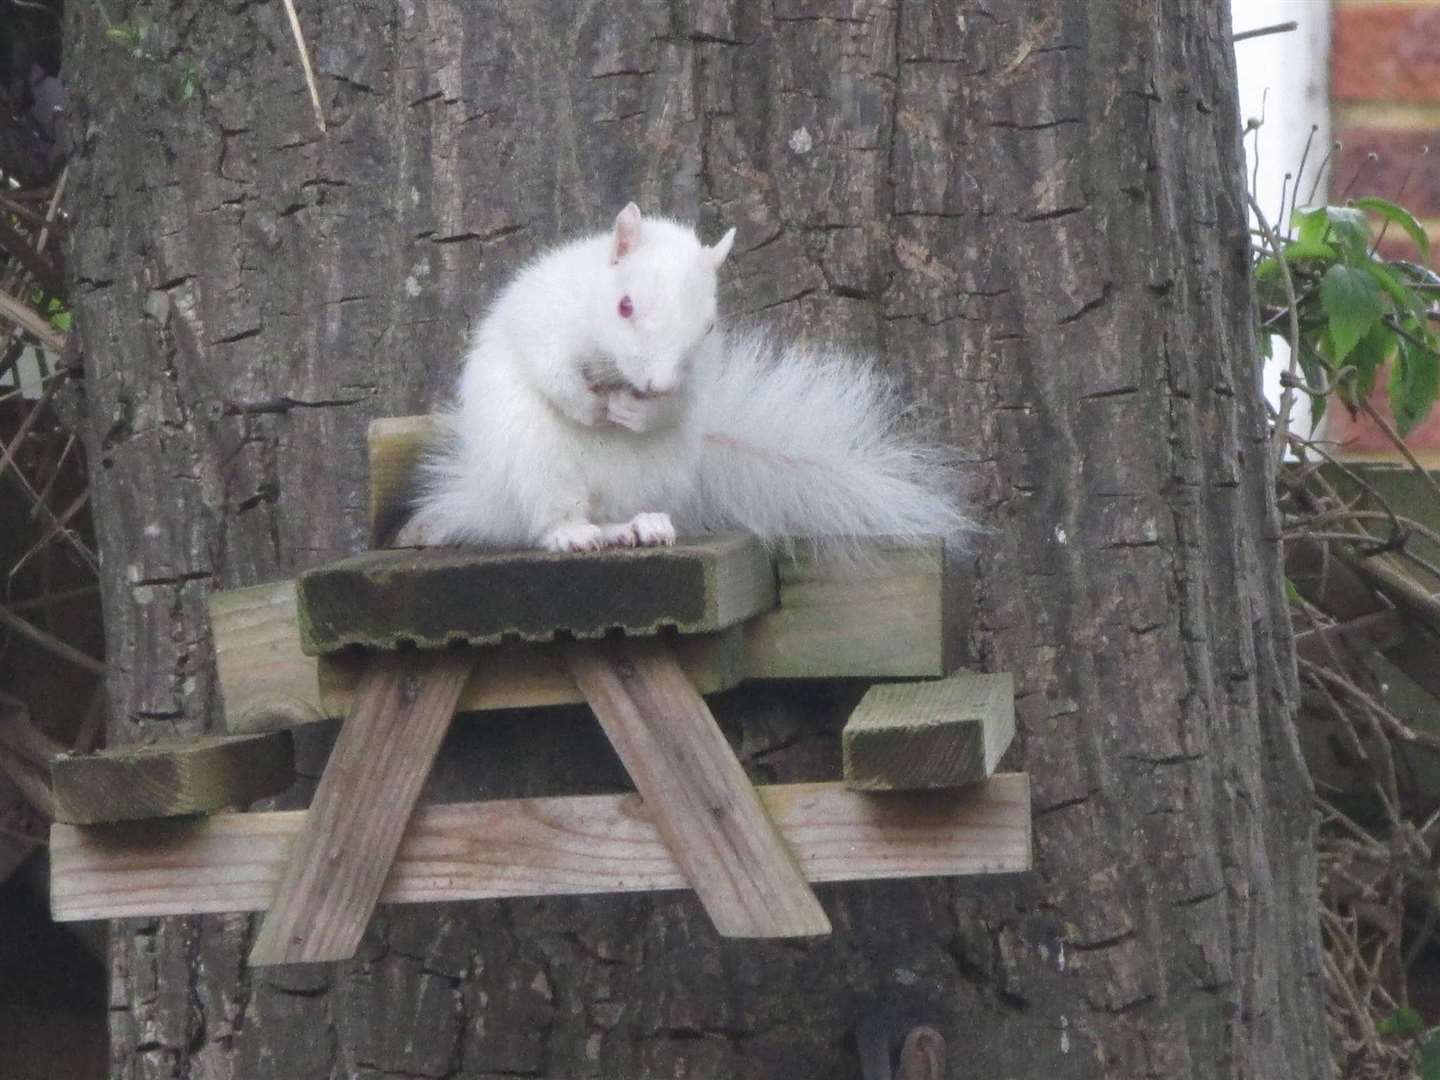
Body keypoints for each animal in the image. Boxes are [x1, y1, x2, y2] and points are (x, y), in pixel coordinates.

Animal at [400, 204, 973, 558]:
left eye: (709, 326)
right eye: (624, 306)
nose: (653, 384)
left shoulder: (695, 379)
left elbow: (680, 402)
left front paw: (638, 411)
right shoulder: (544, 320)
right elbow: (553, 376)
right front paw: (592, 410)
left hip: (652, 473)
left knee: (617, 515)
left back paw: (642, 526)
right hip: (539, 468)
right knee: (554, 519)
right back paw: (573, 535)